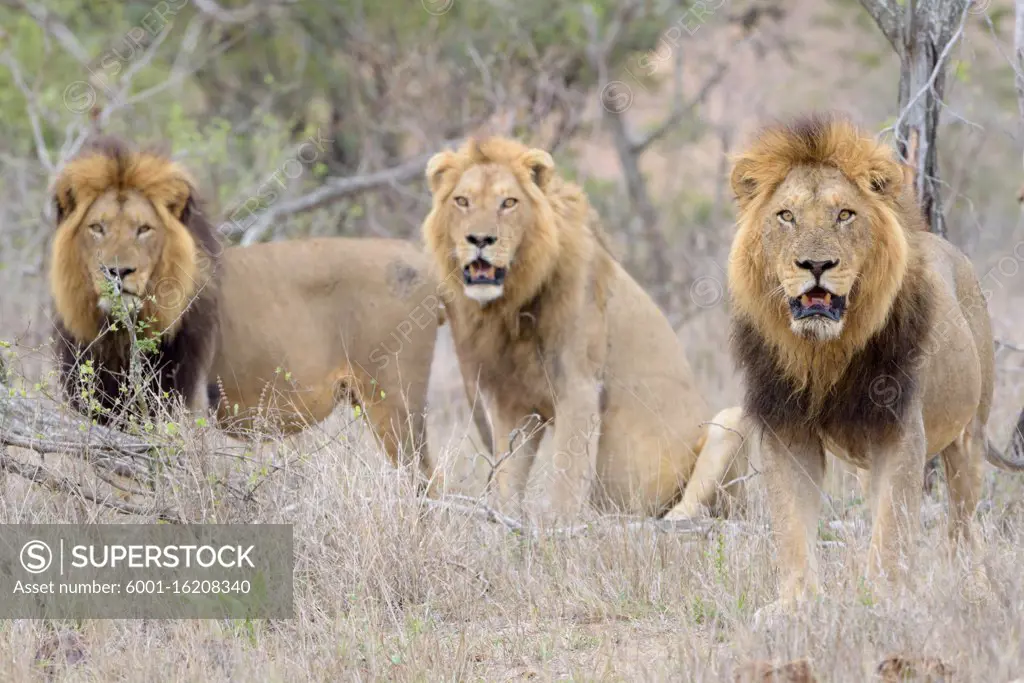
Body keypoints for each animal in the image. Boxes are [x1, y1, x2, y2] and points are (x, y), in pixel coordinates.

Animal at [419, 139, 749, 524]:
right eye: (462, 201)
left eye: (508, 202)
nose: (481, 239)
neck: (513, 302)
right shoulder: (513, 403)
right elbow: (507, 478)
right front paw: (506, 522)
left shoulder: (579, 389)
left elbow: (566, 476)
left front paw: (556, 530)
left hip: (731, 424)